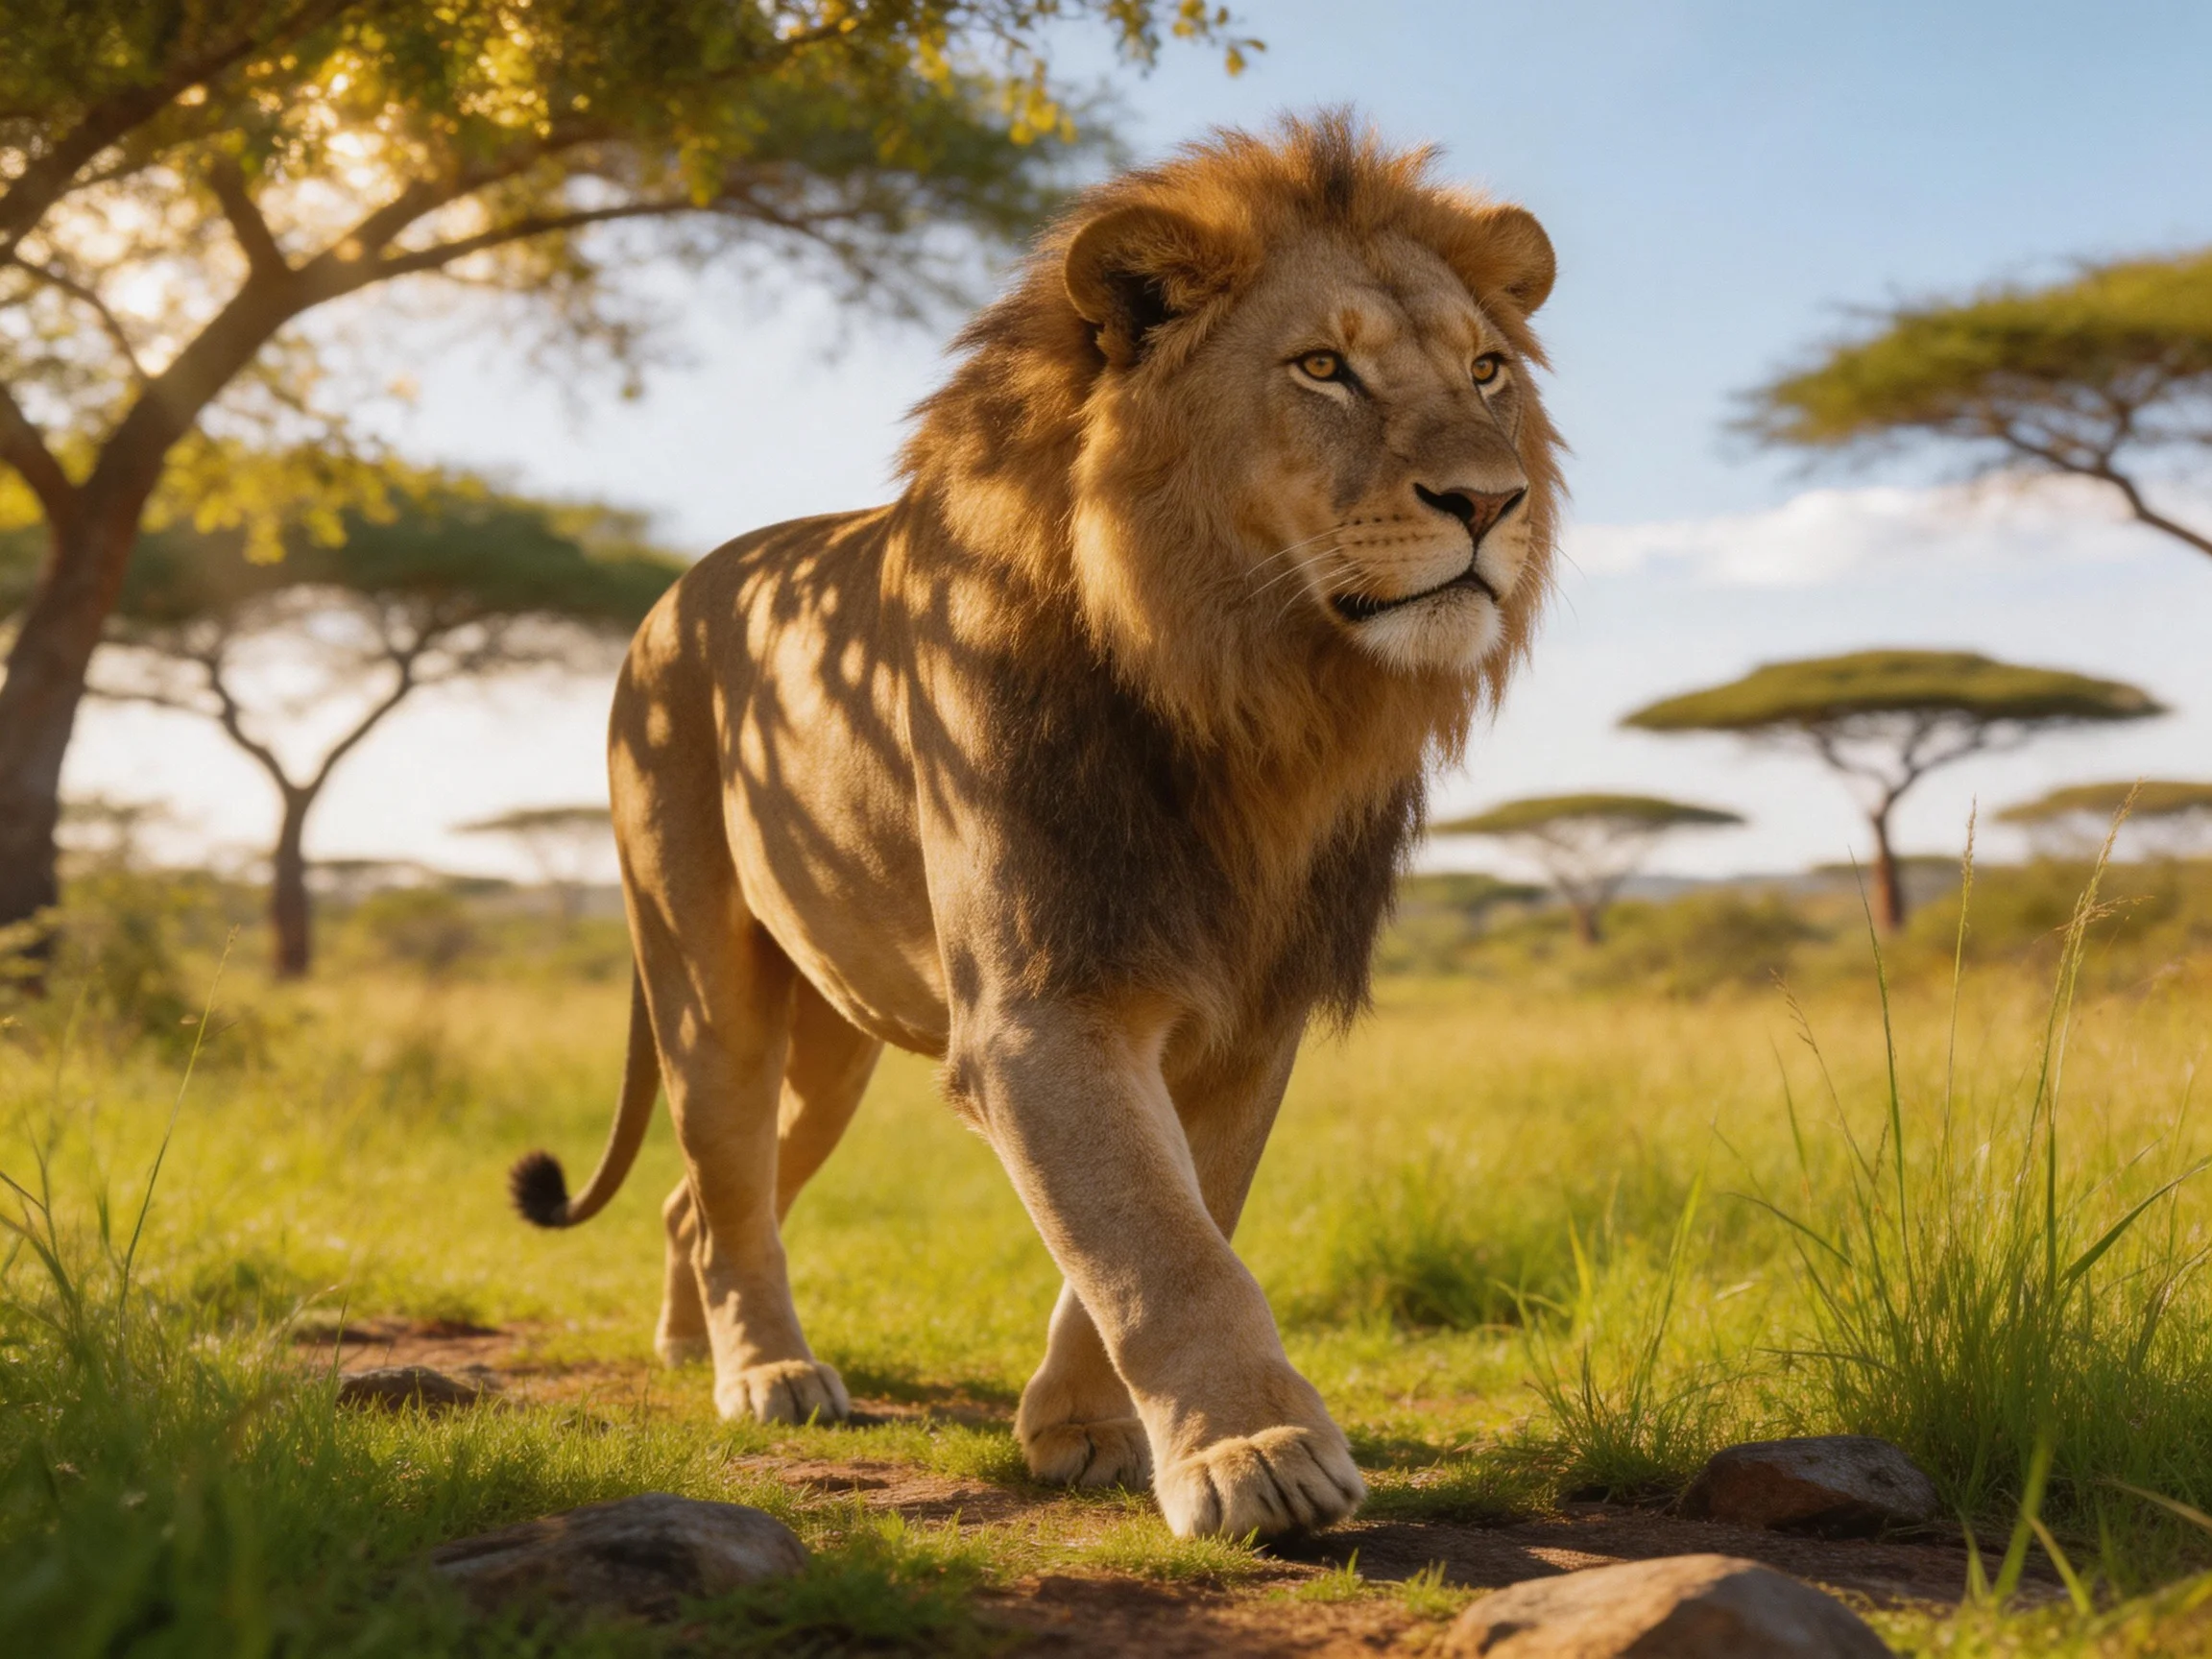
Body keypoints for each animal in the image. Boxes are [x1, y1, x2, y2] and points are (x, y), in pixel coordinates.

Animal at [507, 113, 1562, 1541]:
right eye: (1323, 368)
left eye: (1487, 369)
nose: (1492, 503)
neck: (1247, 695)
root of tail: (675, 594)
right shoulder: (1042, 999)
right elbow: (1156, 1240)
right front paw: (1257, 1452)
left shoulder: (1248, 1012)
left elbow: (1175, 1213)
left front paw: (1088, 1428)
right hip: (706, 978)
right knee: (724, 1173)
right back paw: (766, 1374)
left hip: (833, 1038)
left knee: (702, 1199)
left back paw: (691, 1346)